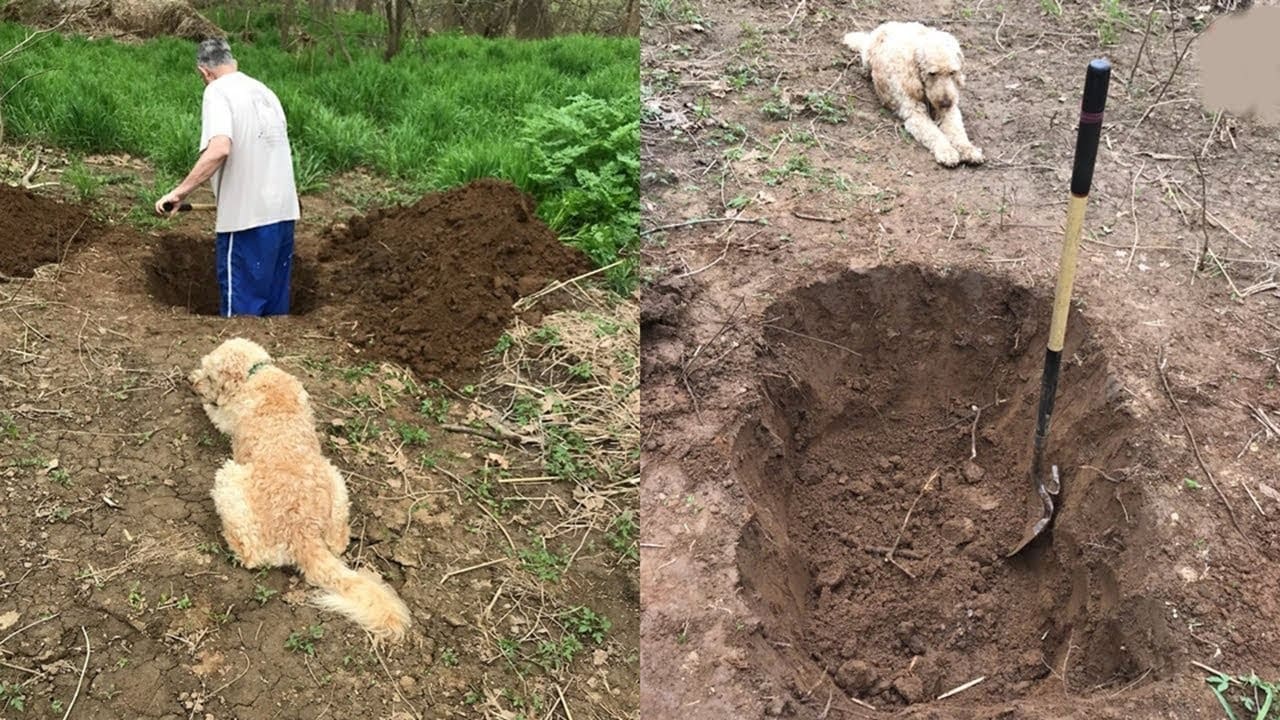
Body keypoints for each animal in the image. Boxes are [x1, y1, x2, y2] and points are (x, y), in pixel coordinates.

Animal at [186, 335, 409, 638]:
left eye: (209, 375)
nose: (192, 382)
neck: (257, 373)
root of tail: (304, 531)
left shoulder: (226, 420)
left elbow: (214, 411)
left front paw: (206, 399)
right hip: (336, 483)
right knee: (339, 542)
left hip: (228, 480)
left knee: (251, 555)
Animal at [844, 19, 983, 166]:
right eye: (932, 73)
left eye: (952, 72)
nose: (945, 103)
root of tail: (892, 24)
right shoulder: (916, 115)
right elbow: (934, 133)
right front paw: (946, 151)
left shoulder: (950, 111)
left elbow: (957, 131)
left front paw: (968, 149)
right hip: (867, 55)